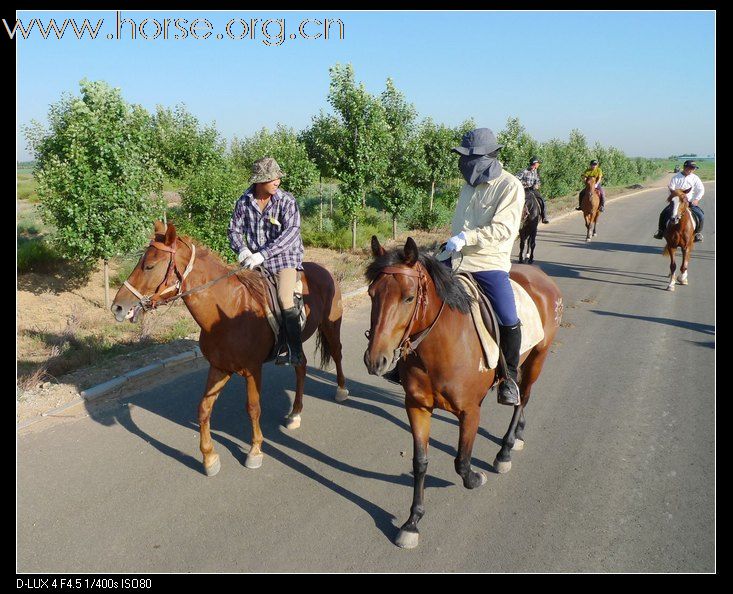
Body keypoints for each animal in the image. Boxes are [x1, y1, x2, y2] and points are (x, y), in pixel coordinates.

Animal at [110, 222, 348, 476]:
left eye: (150, 266)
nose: (117, 307)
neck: (225, 313)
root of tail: (324, 271)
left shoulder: (252, 370)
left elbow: (253, 408)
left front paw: (255, 451)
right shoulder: (220, 368)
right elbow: (204, 408)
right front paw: (209, 458)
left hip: (331, 326)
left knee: (337, 353)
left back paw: (341, 391)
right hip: (297, 343)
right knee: (301, 366)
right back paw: (295, 414)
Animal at [362, 235, 560, 544]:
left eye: (409, 297)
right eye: (372, 294)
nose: (375, 360)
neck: (439, 346)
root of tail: (540, 275)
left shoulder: (470, 410)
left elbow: (461, 461)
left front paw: (474, 478)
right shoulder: (417, 407)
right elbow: (421, 461)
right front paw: (412, 522)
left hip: (538, 357)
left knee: (523, 398)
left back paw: (505, 449)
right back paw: (518, 434)